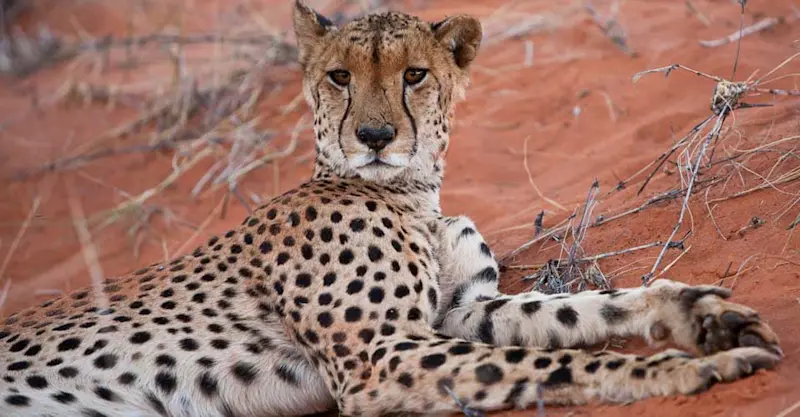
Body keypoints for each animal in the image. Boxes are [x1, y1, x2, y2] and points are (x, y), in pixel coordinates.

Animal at [0, 1, 783, 416]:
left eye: (414, 75)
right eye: (339, 77)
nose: (375, 137)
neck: (409, 194)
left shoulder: (463, 312)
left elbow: (577, 310)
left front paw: (700, 313)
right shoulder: (379, 356)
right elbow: (555, 365)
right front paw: (688, 369)